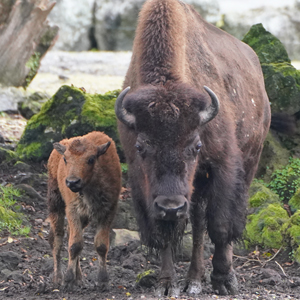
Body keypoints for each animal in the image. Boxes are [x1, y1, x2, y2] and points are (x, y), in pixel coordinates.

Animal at [47, 131, 120, 288]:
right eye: (65, 159)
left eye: (91, 159)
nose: (72, 182)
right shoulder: (72, 210)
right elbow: (74, 245)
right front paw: (68, 279)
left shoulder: (108, 211)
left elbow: (101, 245)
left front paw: (103, 280)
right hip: (55, 203)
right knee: (57, 238)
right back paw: (58, 278)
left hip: (84, 218)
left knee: (69, 234)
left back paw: (79, 278)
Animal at [116, 0, 270, 296]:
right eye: (141, 147)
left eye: (196, 145)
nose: (171, 206)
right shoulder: (144, 184)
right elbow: (164, 233)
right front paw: (166, 285)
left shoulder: (222, 164)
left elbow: (220, 226)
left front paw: (224, 280)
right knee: (197, 221)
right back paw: (193, 280)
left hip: (249, 161)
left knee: (218, 221)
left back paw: (213, 278)